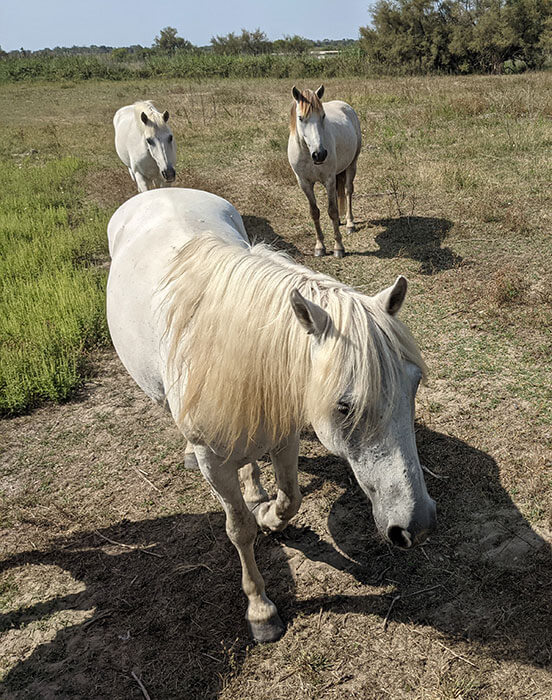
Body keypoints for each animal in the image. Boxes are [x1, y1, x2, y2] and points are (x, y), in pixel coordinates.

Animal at [106, 187, 436, 644]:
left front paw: (267, 514)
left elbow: (290, 498)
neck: (227, 346)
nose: (417, 526)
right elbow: (239, 529)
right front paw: (260, 610)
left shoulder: (284, 437)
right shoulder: (215, 463)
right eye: (344, 406)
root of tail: (158, 190)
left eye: (415, 384)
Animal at [288, 85, 362, 258]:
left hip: (352, 165)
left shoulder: (329, 179)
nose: (320, 154)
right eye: (300, 118)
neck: (308, 154)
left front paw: (338, 247)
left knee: (348, 191)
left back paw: (349, 224)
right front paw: (320, 246)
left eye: (323, 116)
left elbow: (332, 211)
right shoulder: (304, 183)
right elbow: (314, 212)